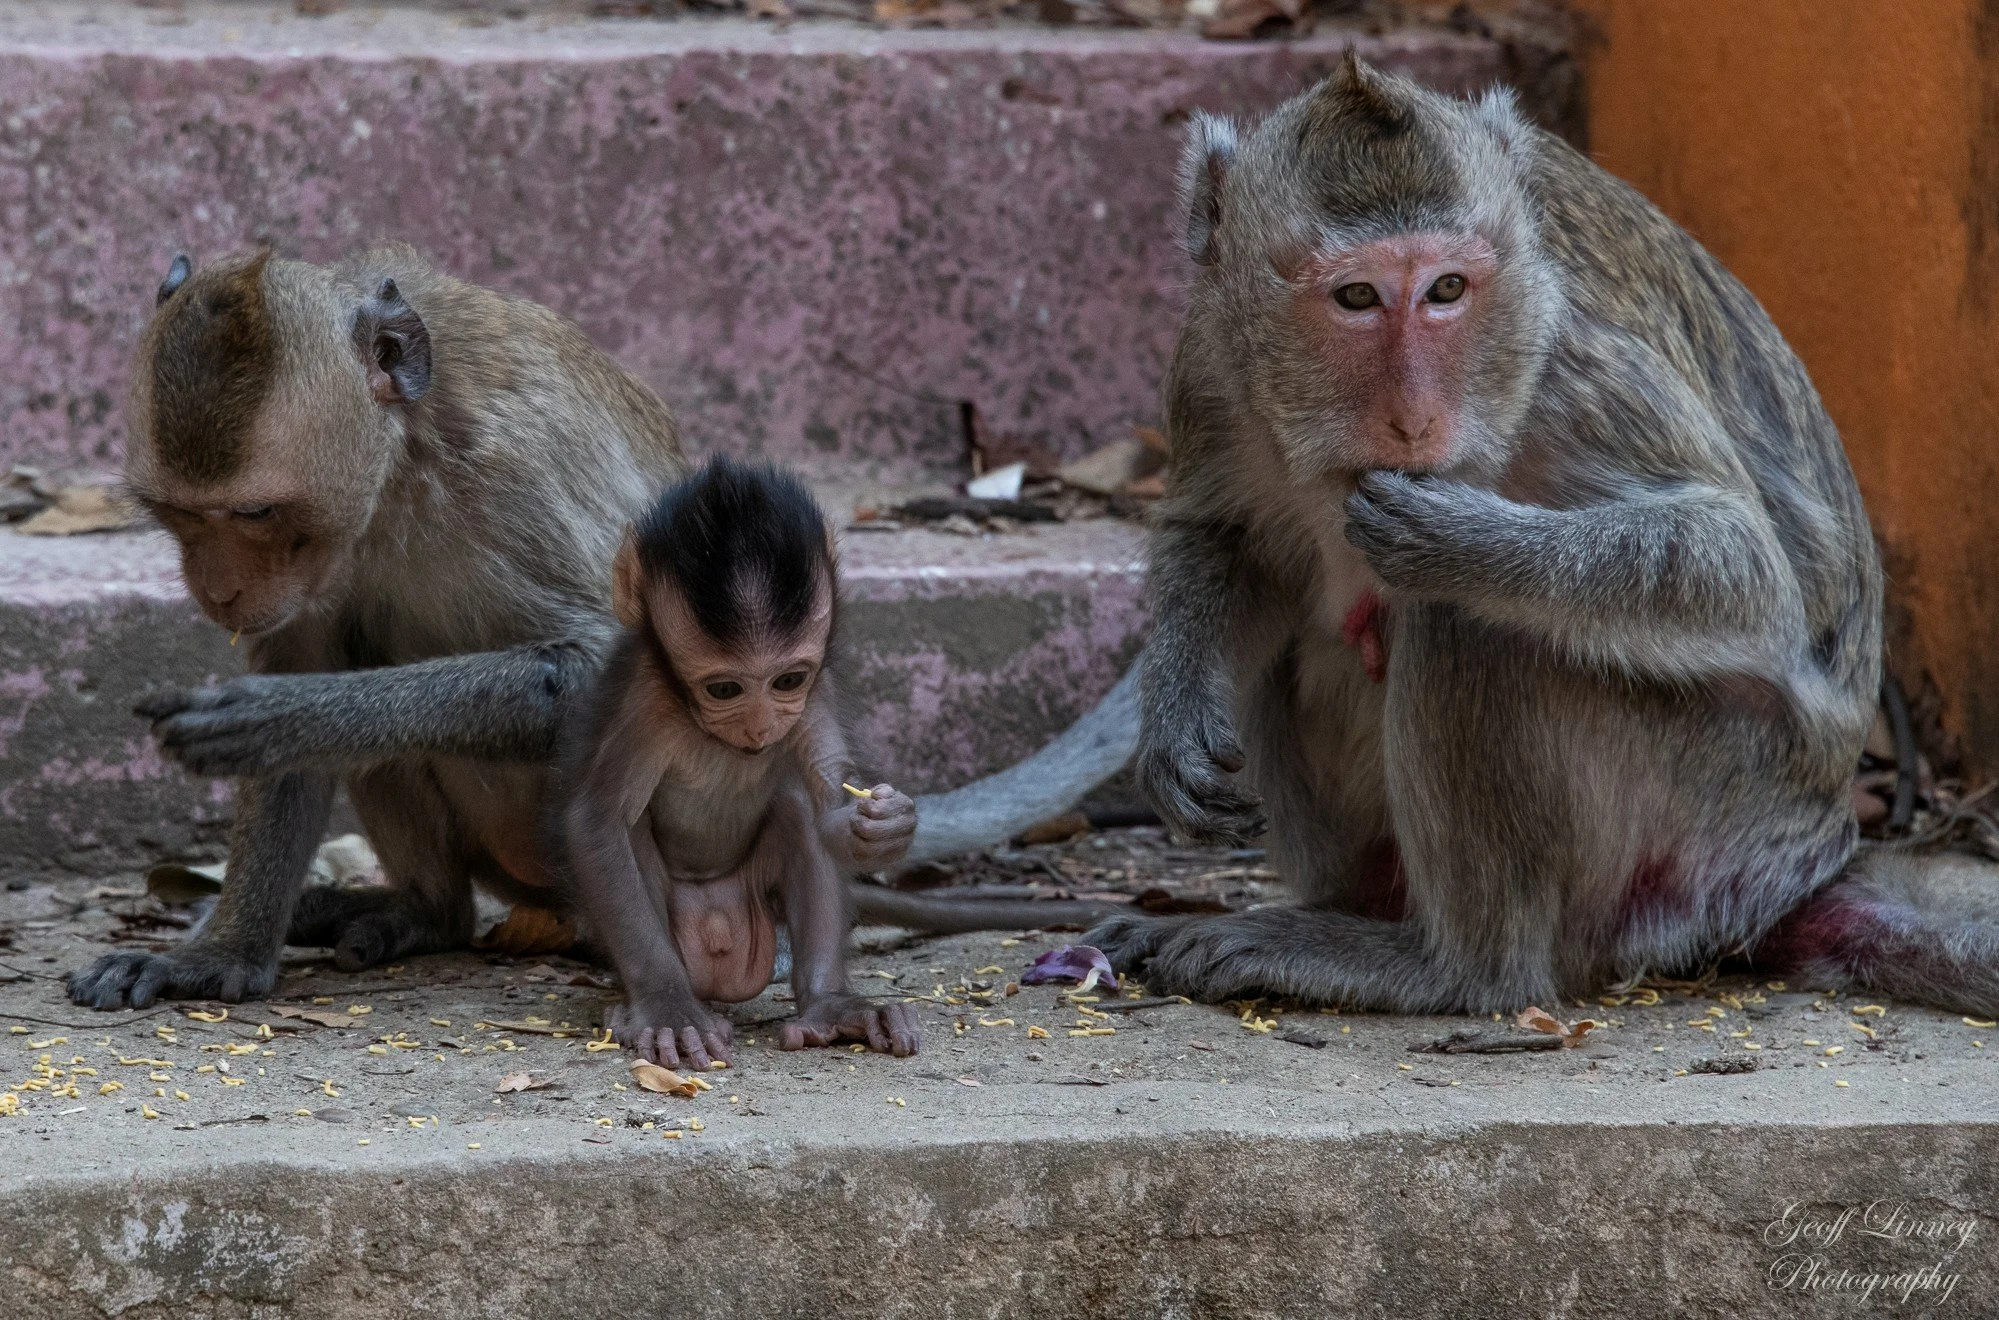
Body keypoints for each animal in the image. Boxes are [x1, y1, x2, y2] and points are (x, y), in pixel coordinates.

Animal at [557, 457, 922, 1067]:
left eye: (787, 680)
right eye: (725, 689)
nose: (759, 728)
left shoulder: (815, 693)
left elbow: (829, 807)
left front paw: (886, 823)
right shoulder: (645, 704)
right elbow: (596, 824)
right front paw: (667, 1009)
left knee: (798, 815)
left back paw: (829, 1007)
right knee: (632, 833)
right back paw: (647, 1009)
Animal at [1086, 55, 1999, 1020]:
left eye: (1447, 289)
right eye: (1356, 297)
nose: (1412, 418)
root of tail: (1798, 865)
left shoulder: (1571, 366)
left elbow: (1740, 568)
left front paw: (1459, 539)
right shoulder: (1210, 354)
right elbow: (1222, 535)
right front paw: (1175, 712)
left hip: (1712, 798)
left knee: (1464, 624)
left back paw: (1446, 968)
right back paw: (1346, 913)